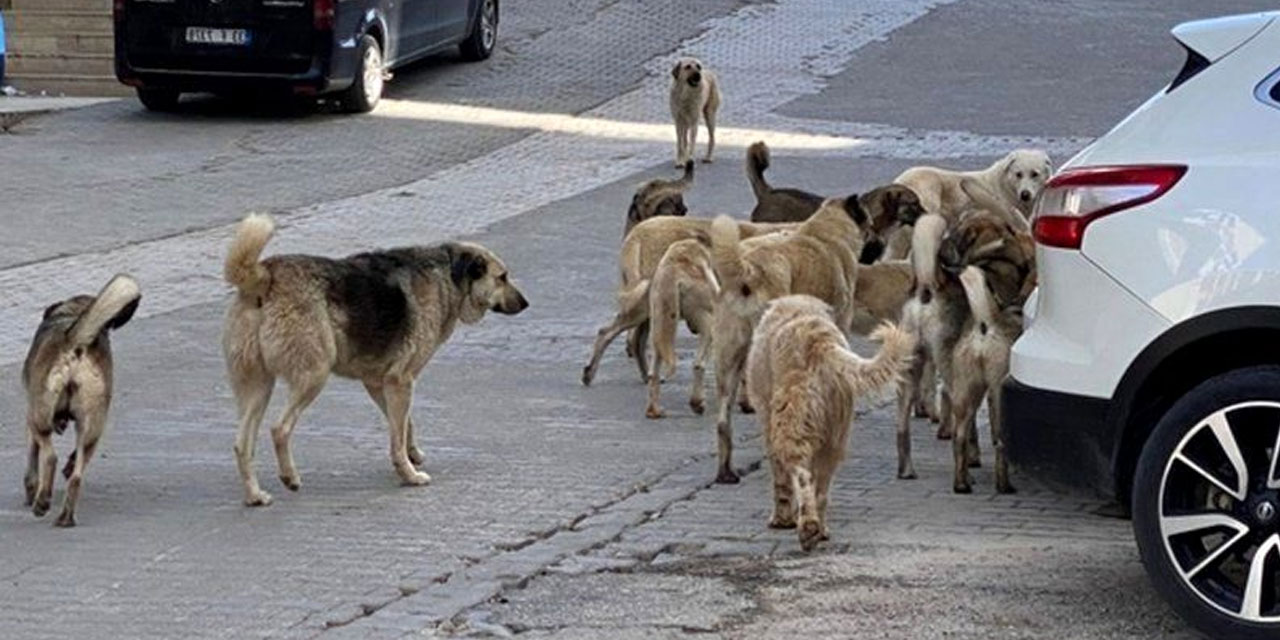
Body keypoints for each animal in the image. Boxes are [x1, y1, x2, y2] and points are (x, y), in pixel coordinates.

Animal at [22, 272, 140, 527]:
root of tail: (76, 342)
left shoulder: (32, 416)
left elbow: (32, 457)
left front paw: (31, 490)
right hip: (92, 427)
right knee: (76, 476)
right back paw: (65, 517)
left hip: (38, 416)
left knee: (50, 457)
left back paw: (42, 502)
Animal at [222, 213, 527, 504]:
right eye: (502, 277)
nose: (526, 304)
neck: (447, 275)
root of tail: (265, 275)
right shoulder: (401, 380)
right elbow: (398, 436)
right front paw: (410, 475)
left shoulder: (380, 382)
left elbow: (403, 426)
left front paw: (412, 455)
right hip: (313, 376)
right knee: (279, 429)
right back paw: (290, 477)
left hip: (258, 387)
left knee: (241, 443)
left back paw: (255, 496)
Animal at [640, 238, 721, 417]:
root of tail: (672, 273)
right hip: (708, 325)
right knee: (698, 364)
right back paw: (697, 403)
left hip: (659, 326)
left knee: (653, 372)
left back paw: (654, 410)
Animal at [711, 194, 911, 483]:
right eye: (870, 225)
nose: (880, 246)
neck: (827, 230)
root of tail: (747, 271)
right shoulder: (840, 325)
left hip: (728, 361)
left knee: (723, 422)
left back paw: (726, 471)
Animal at [747, 294, 916, 550]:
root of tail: (820, 342)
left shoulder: (768, 422)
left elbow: (781, 480)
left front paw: (781, 519)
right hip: (835, 436)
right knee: (821, 490)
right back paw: (820, 530)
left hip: (792, 425)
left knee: (802, 476)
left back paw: (807, 528)